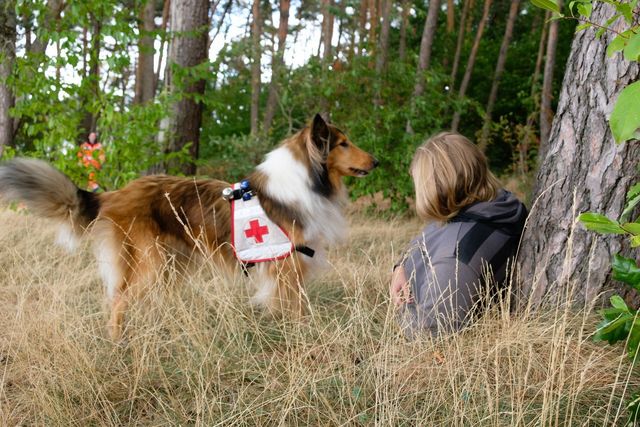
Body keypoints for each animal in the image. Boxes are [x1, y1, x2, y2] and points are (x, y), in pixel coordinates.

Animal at [0, 114, 378, 340]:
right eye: (342, 143)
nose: (376, 161)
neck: (307, 181)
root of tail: (114, 193)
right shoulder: (287, 267)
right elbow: (295, 309)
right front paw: (300, 337)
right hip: (151, 263)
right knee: (118, 300)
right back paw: (117, 342)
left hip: (172, 263)